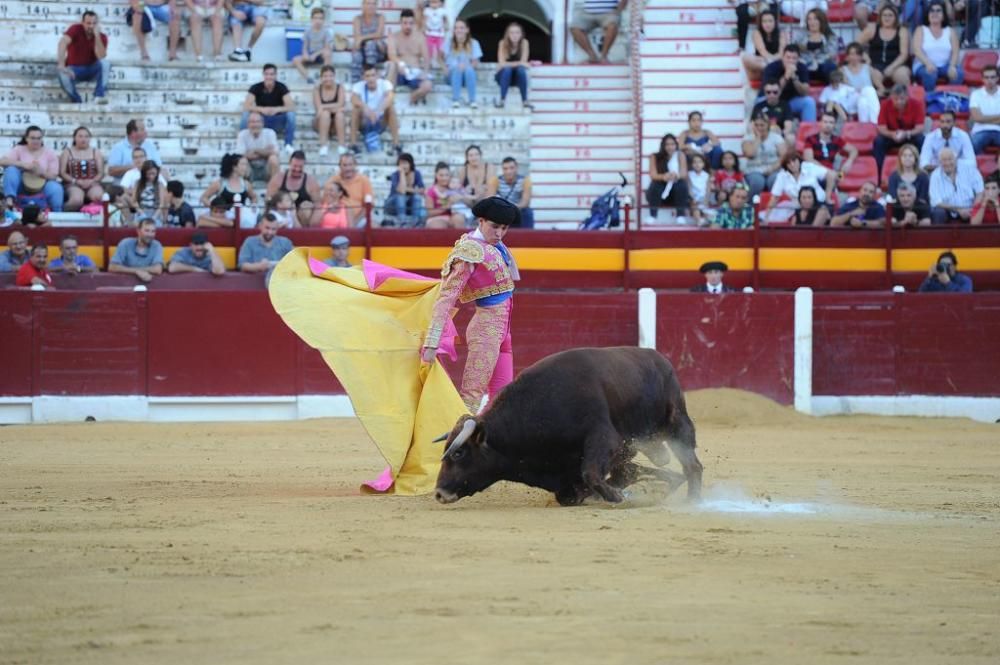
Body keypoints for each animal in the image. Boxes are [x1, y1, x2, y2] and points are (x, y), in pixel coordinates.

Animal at [432, 344, 704, 506]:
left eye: (458, 453)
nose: (439, 493)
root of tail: (660, 359)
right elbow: (579, 488)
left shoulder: (604, 438)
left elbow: (591, 474)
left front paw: (617, 497)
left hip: (677, 424)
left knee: (693, 466)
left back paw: (692, 501)